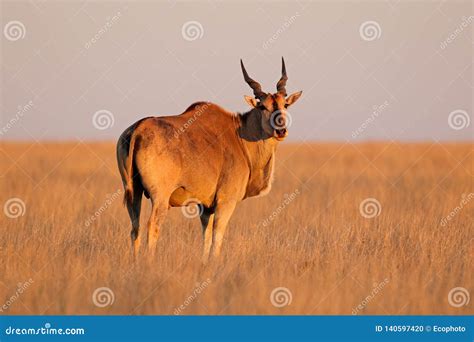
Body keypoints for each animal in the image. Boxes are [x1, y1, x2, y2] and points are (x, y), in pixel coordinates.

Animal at [116, 58, 302, 262]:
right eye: (262, 106)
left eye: (285, 105)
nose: (281, 130)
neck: (239, 135)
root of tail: (139, 128)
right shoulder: (225, 202)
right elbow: (216, 237)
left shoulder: (205, 208)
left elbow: (205, 237)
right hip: (160, 198)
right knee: (152, 226)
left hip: (134, 193)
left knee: (135, 229)